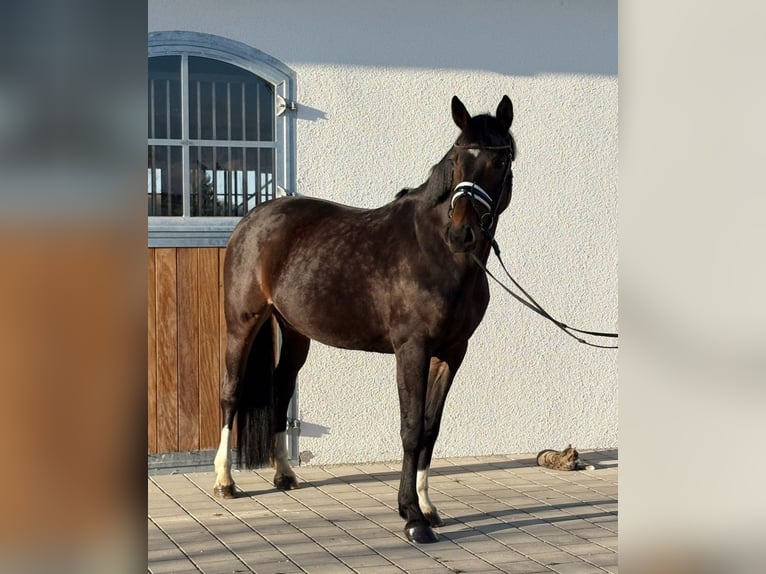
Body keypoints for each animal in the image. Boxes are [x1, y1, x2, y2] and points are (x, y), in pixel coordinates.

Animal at [212, 95, 516, 544]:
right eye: (458, 159)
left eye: (499, 161)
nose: (462, 233)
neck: (438, 253)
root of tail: (253, 219)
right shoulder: (412, 350)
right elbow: (411, 428)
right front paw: (412, 516)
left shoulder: (452, 352)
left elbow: (430, 428)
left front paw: (428, 507)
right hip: (242, 322)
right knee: (231, 392)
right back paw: (224, 481)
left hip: (295, 331)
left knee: (281, 387)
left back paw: (284, 475)